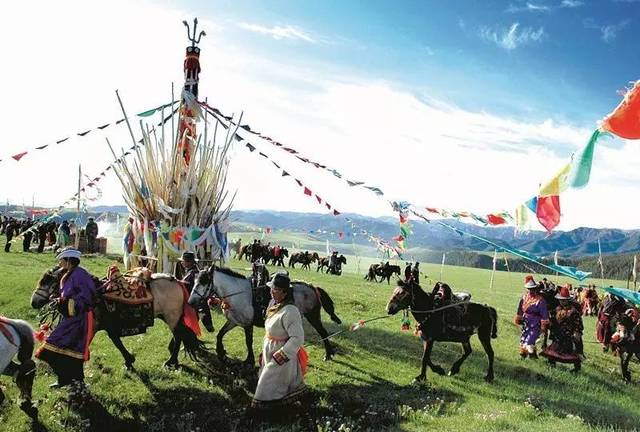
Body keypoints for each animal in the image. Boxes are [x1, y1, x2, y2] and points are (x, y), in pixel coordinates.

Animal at [188, 264, 342, 362]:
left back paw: (328, 354)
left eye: (204, 281)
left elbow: (248, 341)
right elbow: (220, 334)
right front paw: (221, 352)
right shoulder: (233, 321)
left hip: (313, 316)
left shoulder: (247, 324)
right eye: (195, 280)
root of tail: (311, 286)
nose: (191, 302)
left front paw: (249, 360)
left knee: (323, 332)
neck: (238, 293)